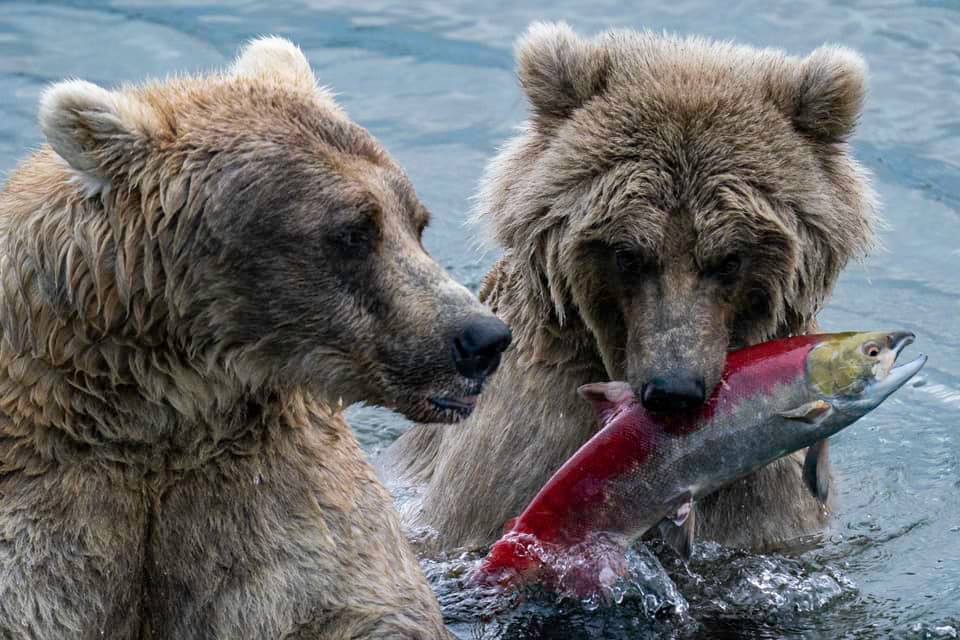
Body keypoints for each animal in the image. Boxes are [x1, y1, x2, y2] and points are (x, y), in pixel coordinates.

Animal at [0, 37, 511, 639]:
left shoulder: (268, 484)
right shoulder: (53, 494)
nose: (483, 337)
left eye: (416, 220)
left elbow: (349, 599)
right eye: (354, 231)